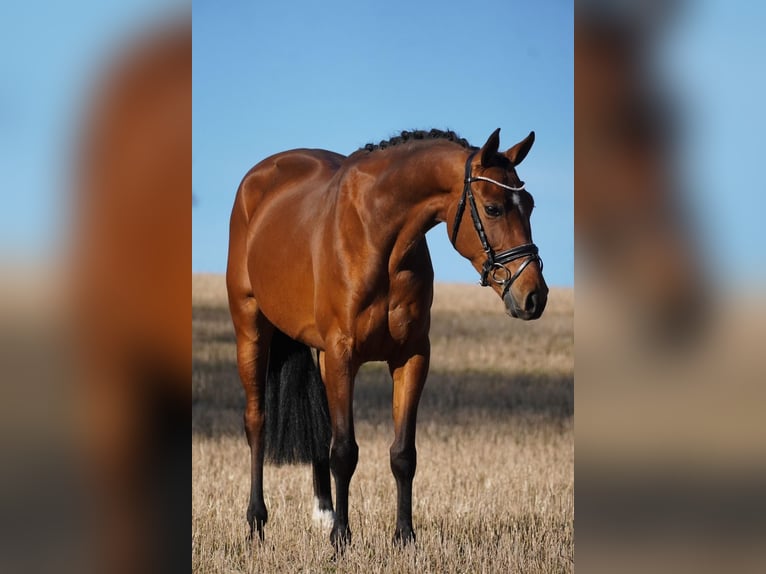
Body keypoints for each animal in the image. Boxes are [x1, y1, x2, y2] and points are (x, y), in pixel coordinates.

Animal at [226, 128, 548, 549]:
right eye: (493, 208)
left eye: (530, 205)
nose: (534, 296)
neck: (379, 236)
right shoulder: (343, 356)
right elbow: (345, 451)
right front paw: (341, 540)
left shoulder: (411, 357)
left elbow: (403, 454)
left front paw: (404, 536)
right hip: (251, 330)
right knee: (257, 423)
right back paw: (256, 522)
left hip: (317, 352)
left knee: (320, 429)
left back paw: (323, 512)